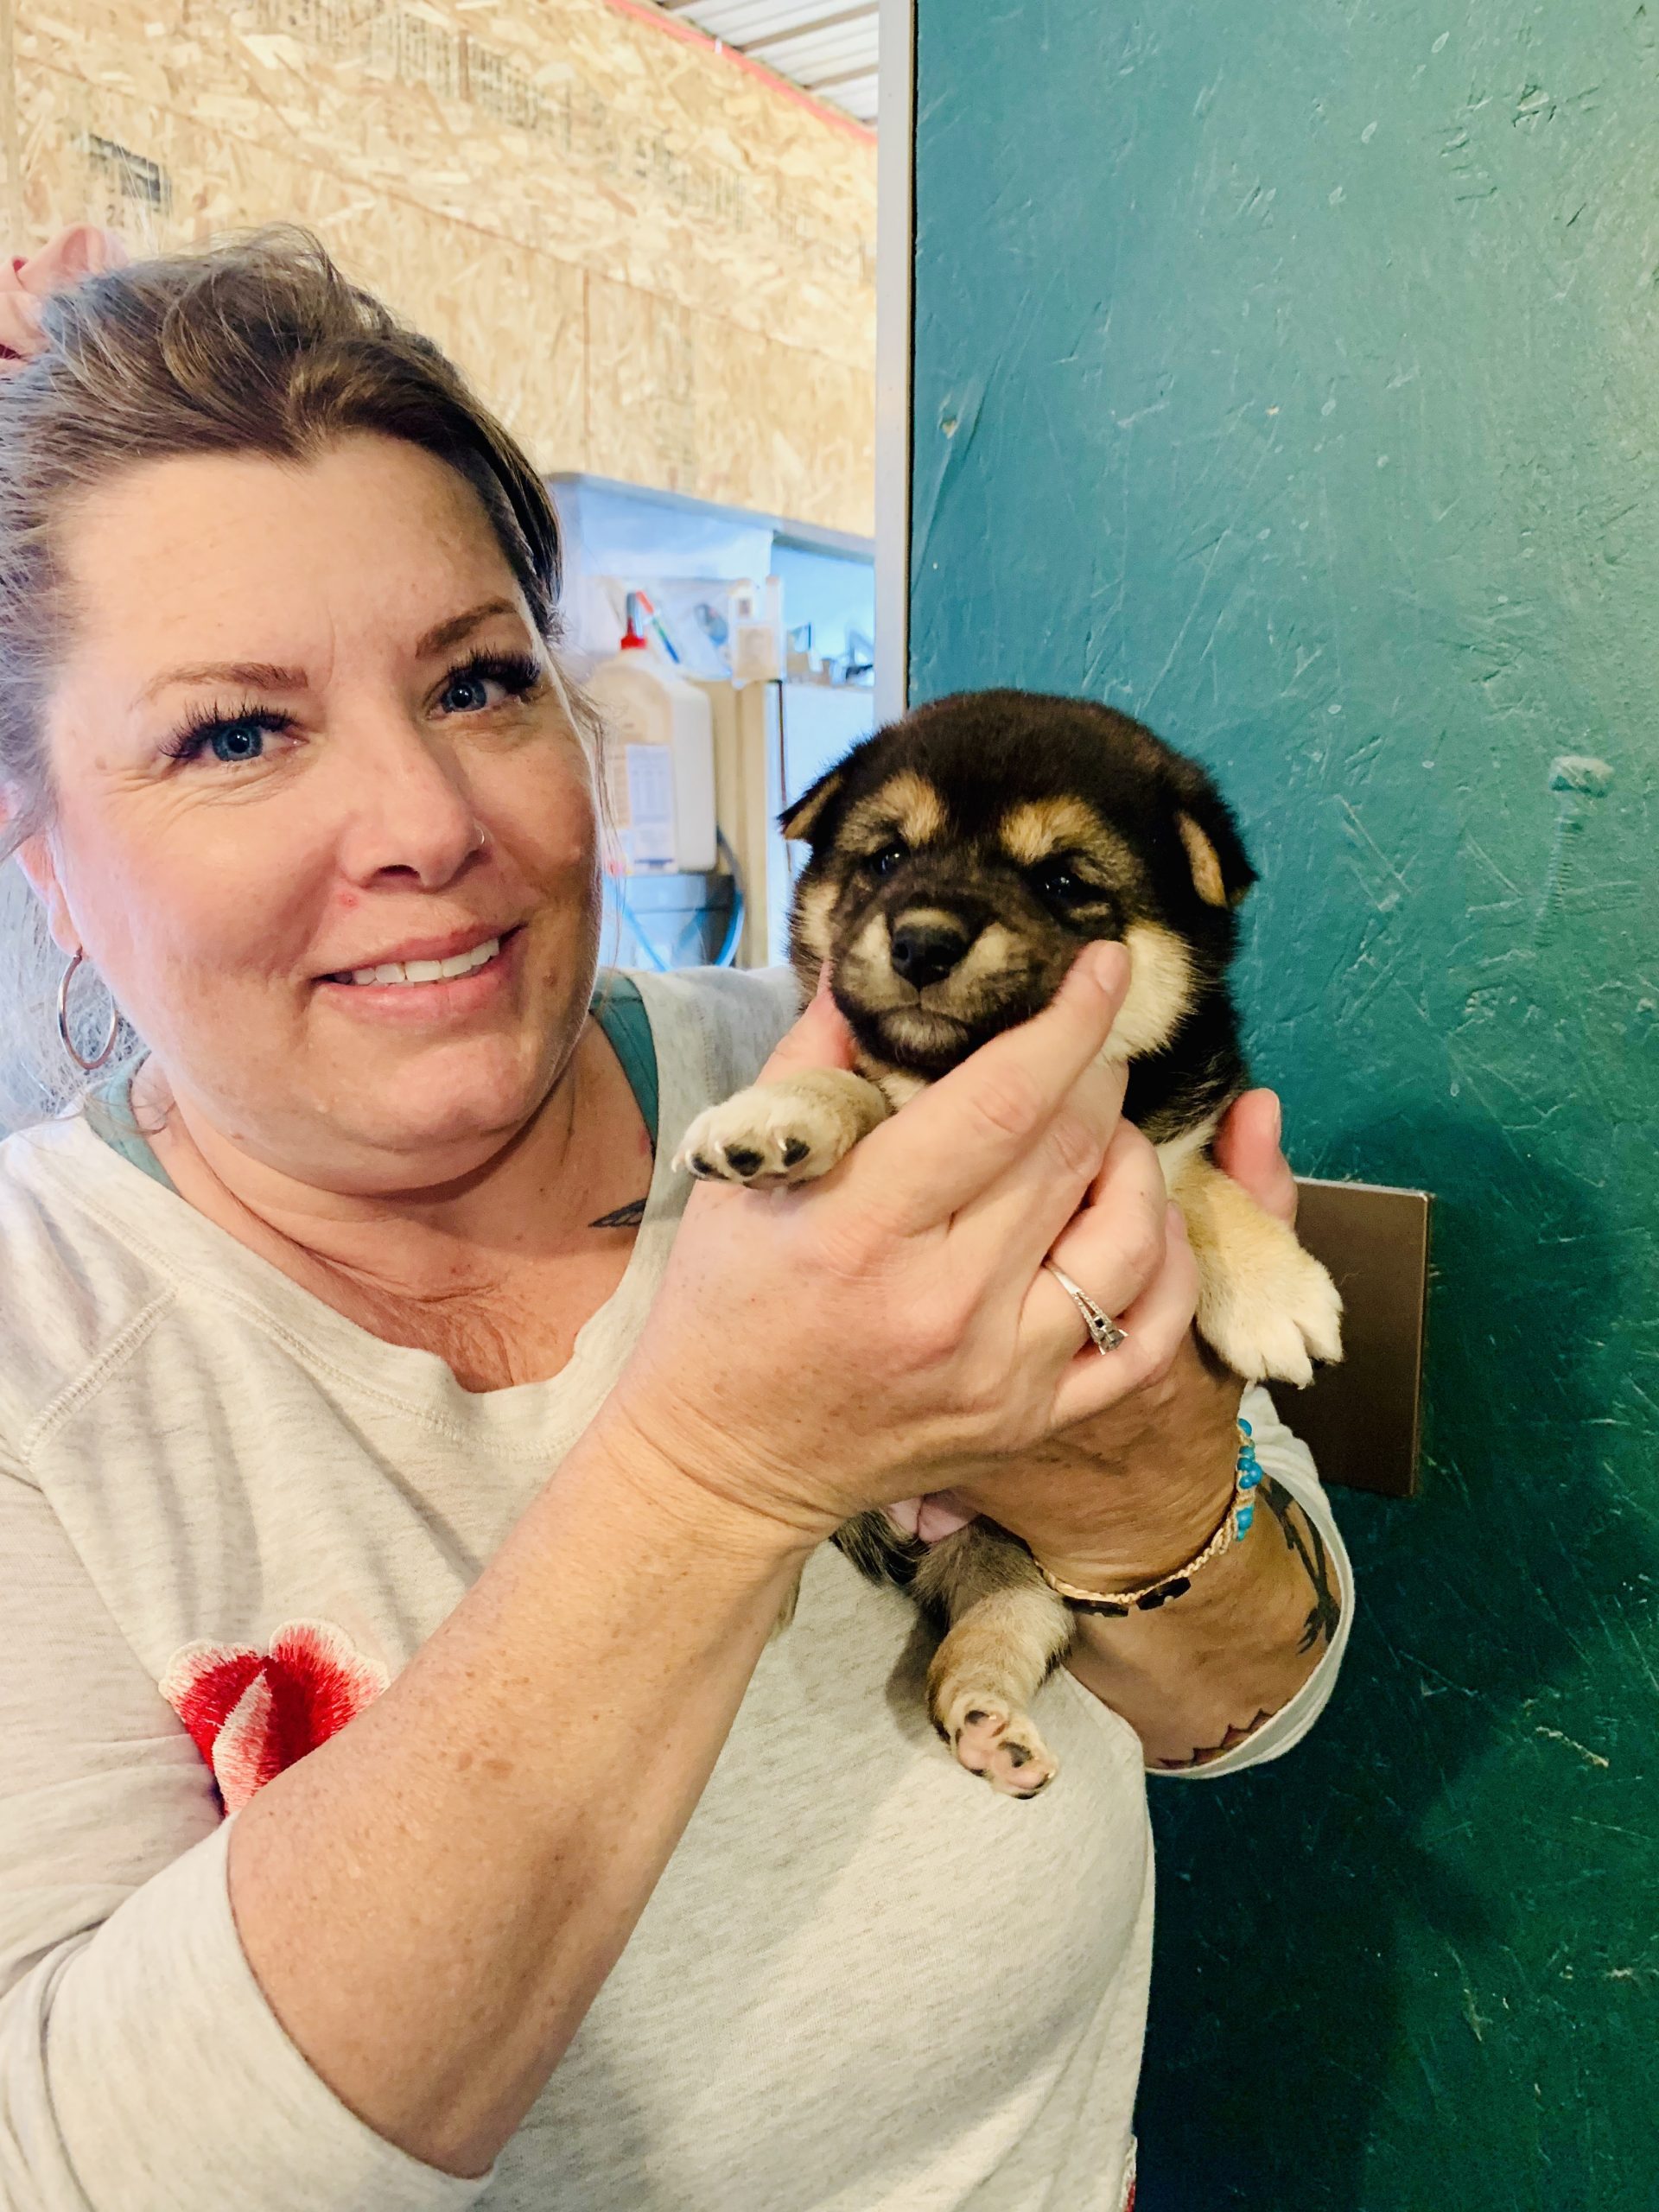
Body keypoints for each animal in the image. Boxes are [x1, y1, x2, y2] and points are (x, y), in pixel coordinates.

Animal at [668, 690, 1344, 1796]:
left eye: (1064, 880)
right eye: (886, 858)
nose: (922, 941)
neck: (960, 1078)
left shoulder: (1165, 1127)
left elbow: (1190, 1179)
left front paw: (1271, 1289)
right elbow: (861, 1083)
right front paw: (781, 1111)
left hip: (1021, 1562)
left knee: (998, 1630)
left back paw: (991, 1724)